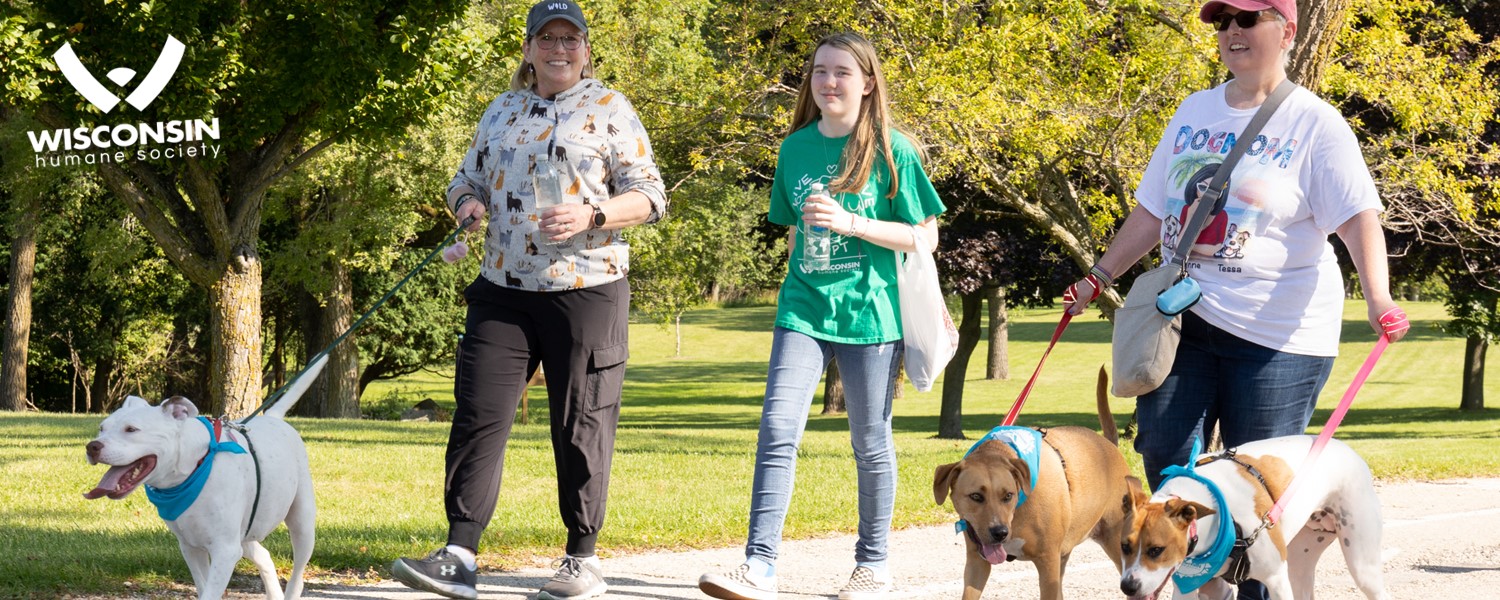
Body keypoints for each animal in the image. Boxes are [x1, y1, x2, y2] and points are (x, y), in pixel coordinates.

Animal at [85, 358, 325, 597]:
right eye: (102, 428)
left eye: (131, 429)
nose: (92, 446)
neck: (195, 467)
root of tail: (274, 418)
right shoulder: (191, 547)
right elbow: (203, 587)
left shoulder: (225, 550)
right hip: (245, 533)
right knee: (264, 555)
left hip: (301, 525)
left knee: (297, 574)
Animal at [924, 366, 1134, 600]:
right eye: (976, 496)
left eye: (1008, 495)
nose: (1000, 532)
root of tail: (1110, 446)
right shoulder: (977, 561)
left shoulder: (1047, 563)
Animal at [1122, 435, 1386, 600]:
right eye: (1124, 546)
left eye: (1156, 550)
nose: (1127, 586)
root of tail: (1347, 448)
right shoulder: (1186, 587)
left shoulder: (1276, 579)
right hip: (1300, 565)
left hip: (1363, 568)